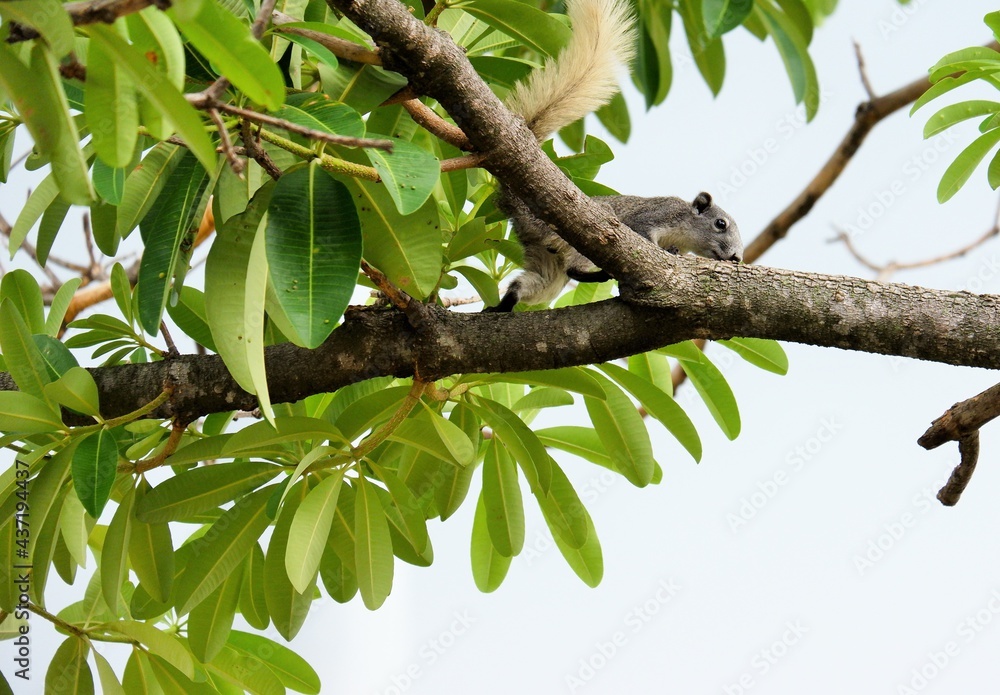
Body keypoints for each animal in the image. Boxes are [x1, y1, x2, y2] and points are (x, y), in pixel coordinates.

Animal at [484, 0, 744, 312]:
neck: (683, 231)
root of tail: (520, 205)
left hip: (547, 262)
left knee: (527, 284)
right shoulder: (654, 216)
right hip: (585, 235)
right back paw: (598, 275)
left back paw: (501, 306)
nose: (736, 257)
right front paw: (666, 250)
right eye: (720, 224)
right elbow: (645, 233)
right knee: (574, 267)